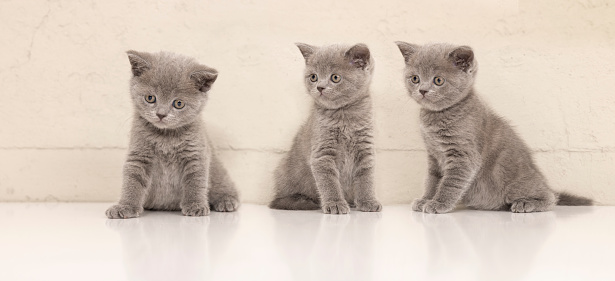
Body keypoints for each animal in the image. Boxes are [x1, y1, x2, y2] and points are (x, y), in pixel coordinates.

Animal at [104, 50, 239, 219]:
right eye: (150, 98)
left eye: (178, 103)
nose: (161, 114)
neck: (166, 137)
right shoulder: (138, 154)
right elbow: (132, 180)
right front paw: (125, 206)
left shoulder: (196, 154)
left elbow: (195, 180)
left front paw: (195, 205)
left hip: (217, 169)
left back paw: (226, 201)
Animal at [268, 42, 380, 213]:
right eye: (313, 77)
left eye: (335, 77)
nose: (320, 87)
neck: (344, 115)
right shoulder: (322, 152)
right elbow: (328, 181)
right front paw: (335, 204)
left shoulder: (365, 148)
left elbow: (366, 177)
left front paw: (368, 201)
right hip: (284, 170)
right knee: (281, 199)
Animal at [394, 41, 592, 212]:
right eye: (415, 78)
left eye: (438, 81)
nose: (422, 90)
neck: (437, 116)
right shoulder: (434, 155)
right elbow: (432, 180)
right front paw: (425, 199)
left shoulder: (463, 156)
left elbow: (450, 182)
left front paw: (438, 203)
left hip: (514, 182)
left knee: (551, 198)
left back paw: (526, 203)